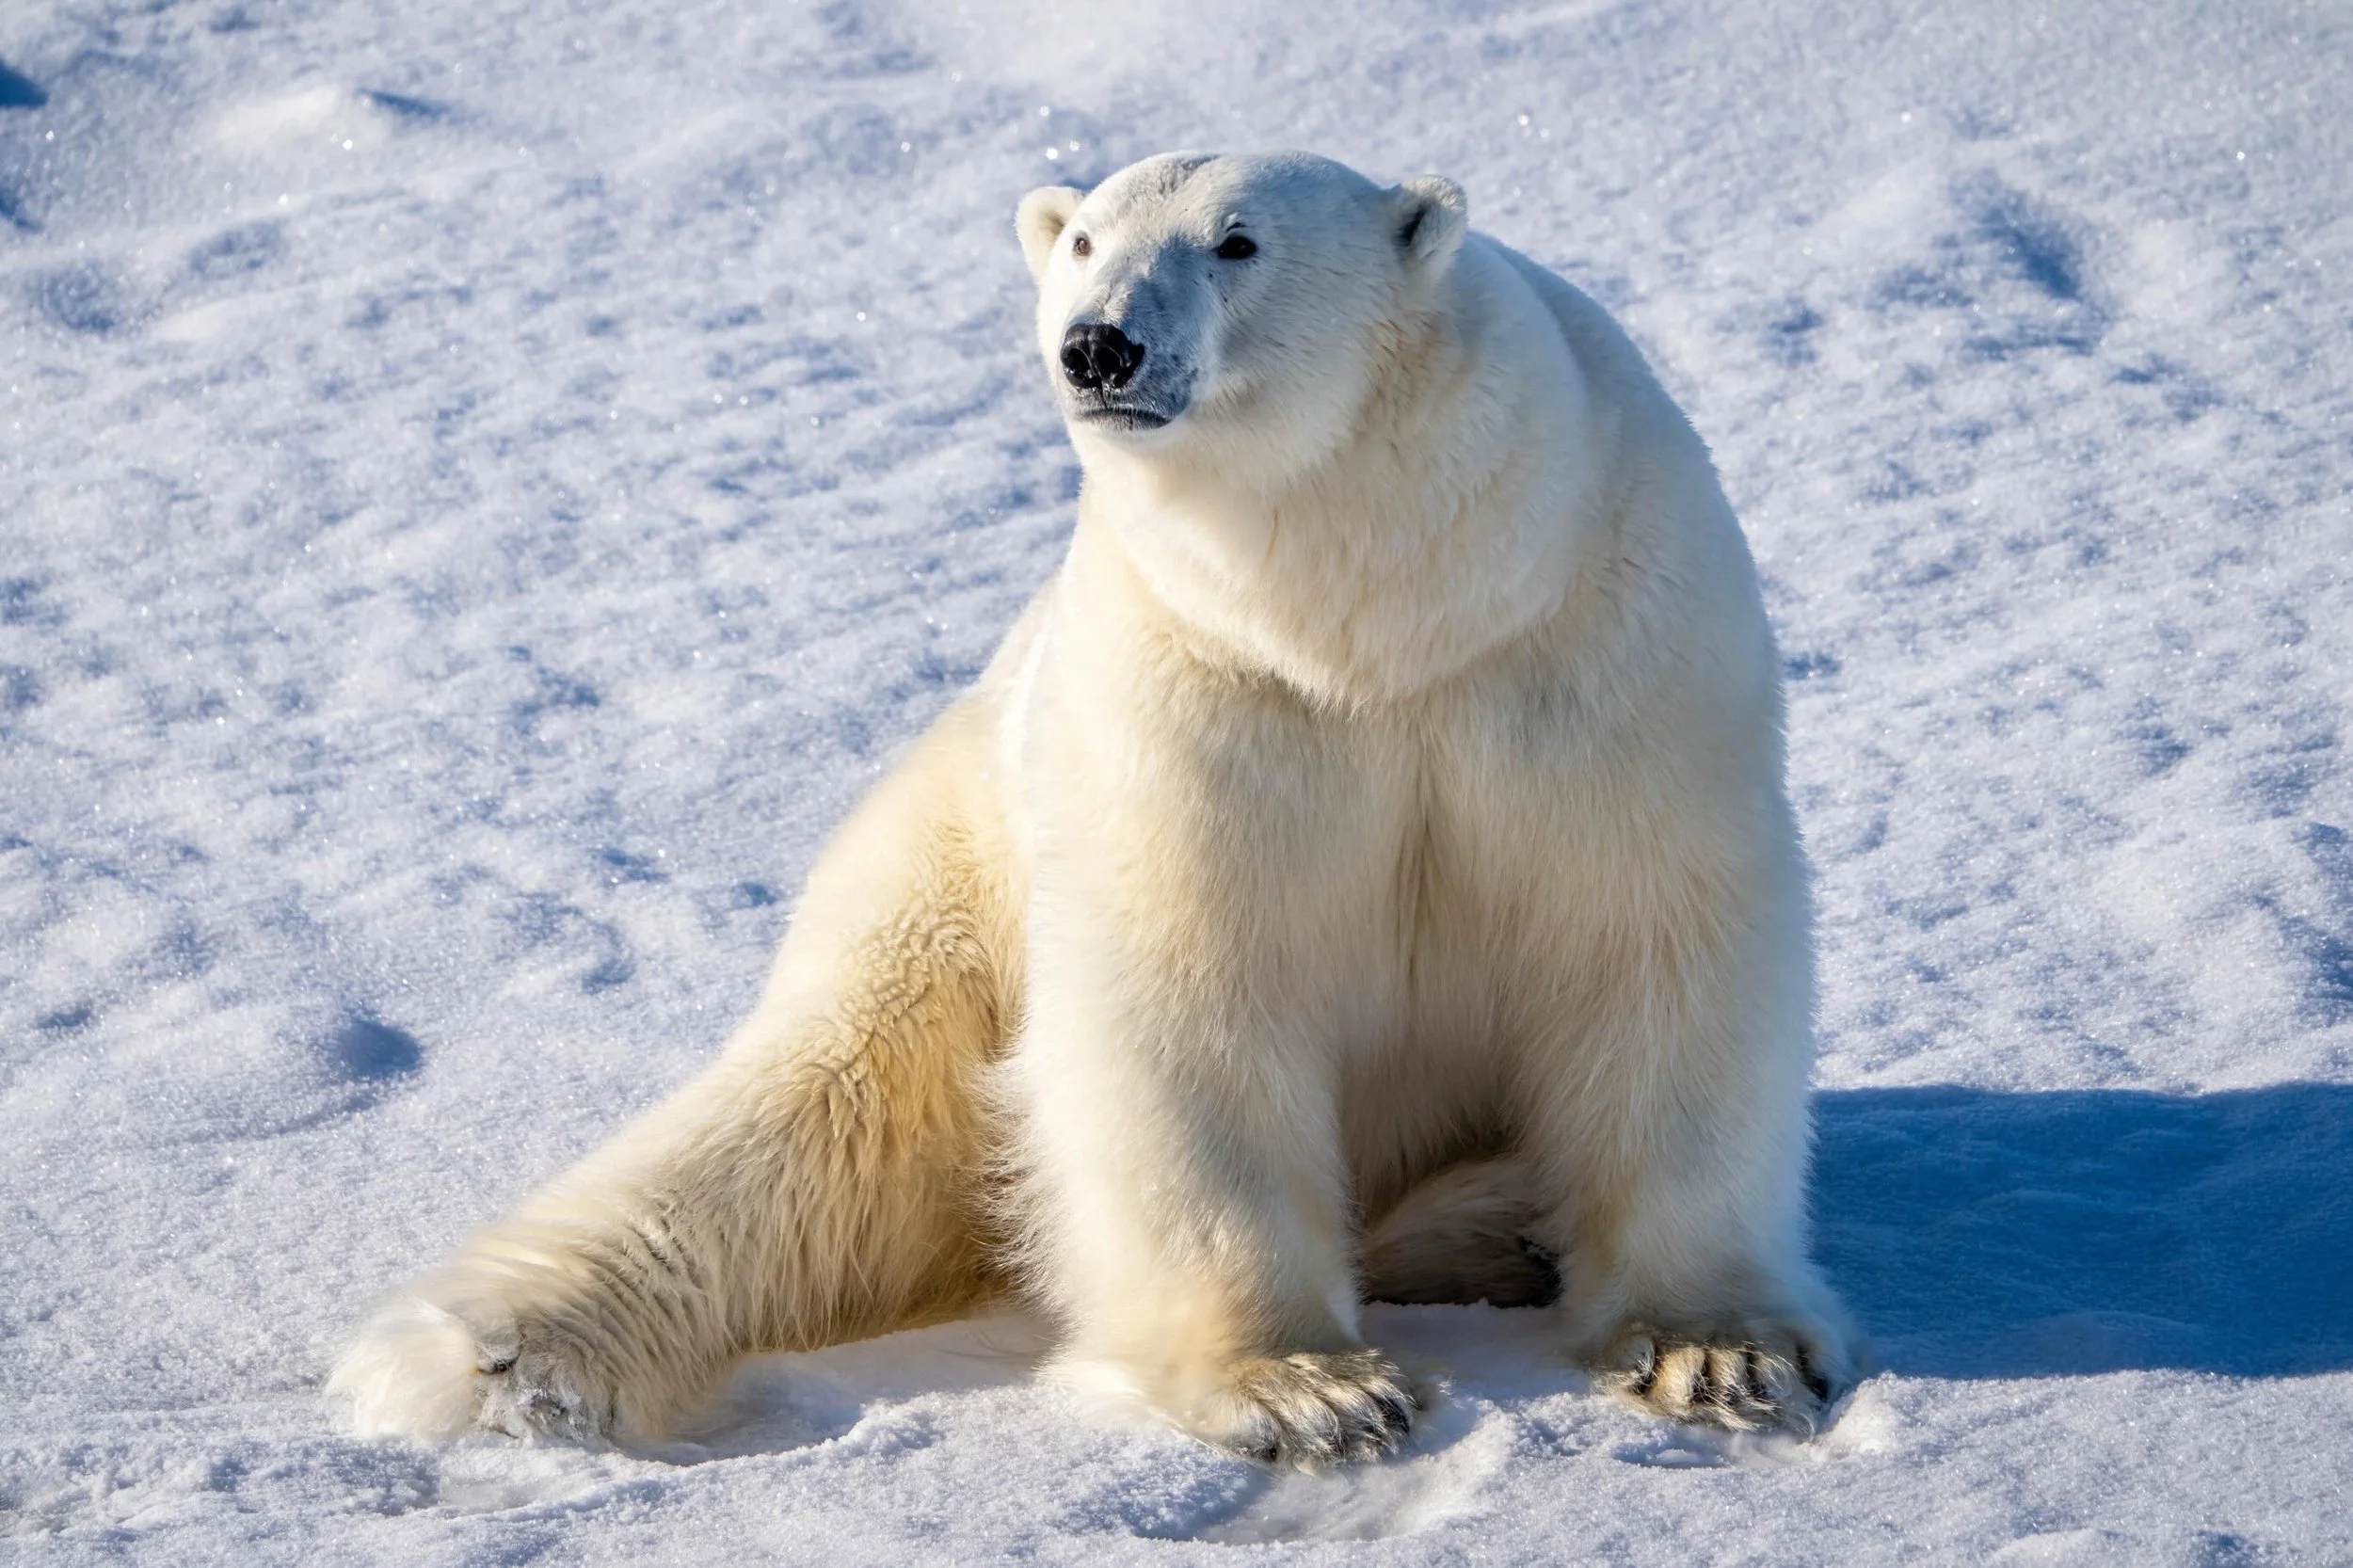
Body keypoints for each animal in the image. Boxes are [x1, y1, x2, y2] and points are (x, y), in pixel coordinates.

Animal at [328, 150, 1855, 1470]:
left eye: (1237, 242)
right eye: (1081, 244)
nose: (1099, 347)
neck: (1378, 616)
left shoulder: (1584, 646)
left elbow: (1648, 941)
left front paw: (1717, 1353)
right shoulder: (1201, 685)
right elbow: (1190, 992)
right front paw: (1311, 1389)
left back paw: (1497, 1225)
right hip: (939, 890)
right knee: (815, 1122)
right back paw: (497, 1353)